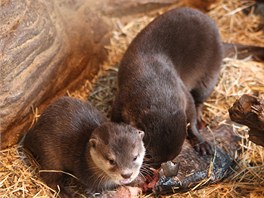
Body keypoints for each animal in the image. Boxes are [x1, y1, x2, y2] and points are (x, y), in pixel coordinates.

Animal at [111, 7, 223, 166]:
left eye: (176, 155)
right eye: (148, 156)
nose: (159, 167)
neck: (154, 81)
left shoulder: (184, 94)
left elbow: (192, 119)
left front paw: (201, 142)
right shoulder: (122, 99)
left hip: (210, 74)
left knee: (200, 98)